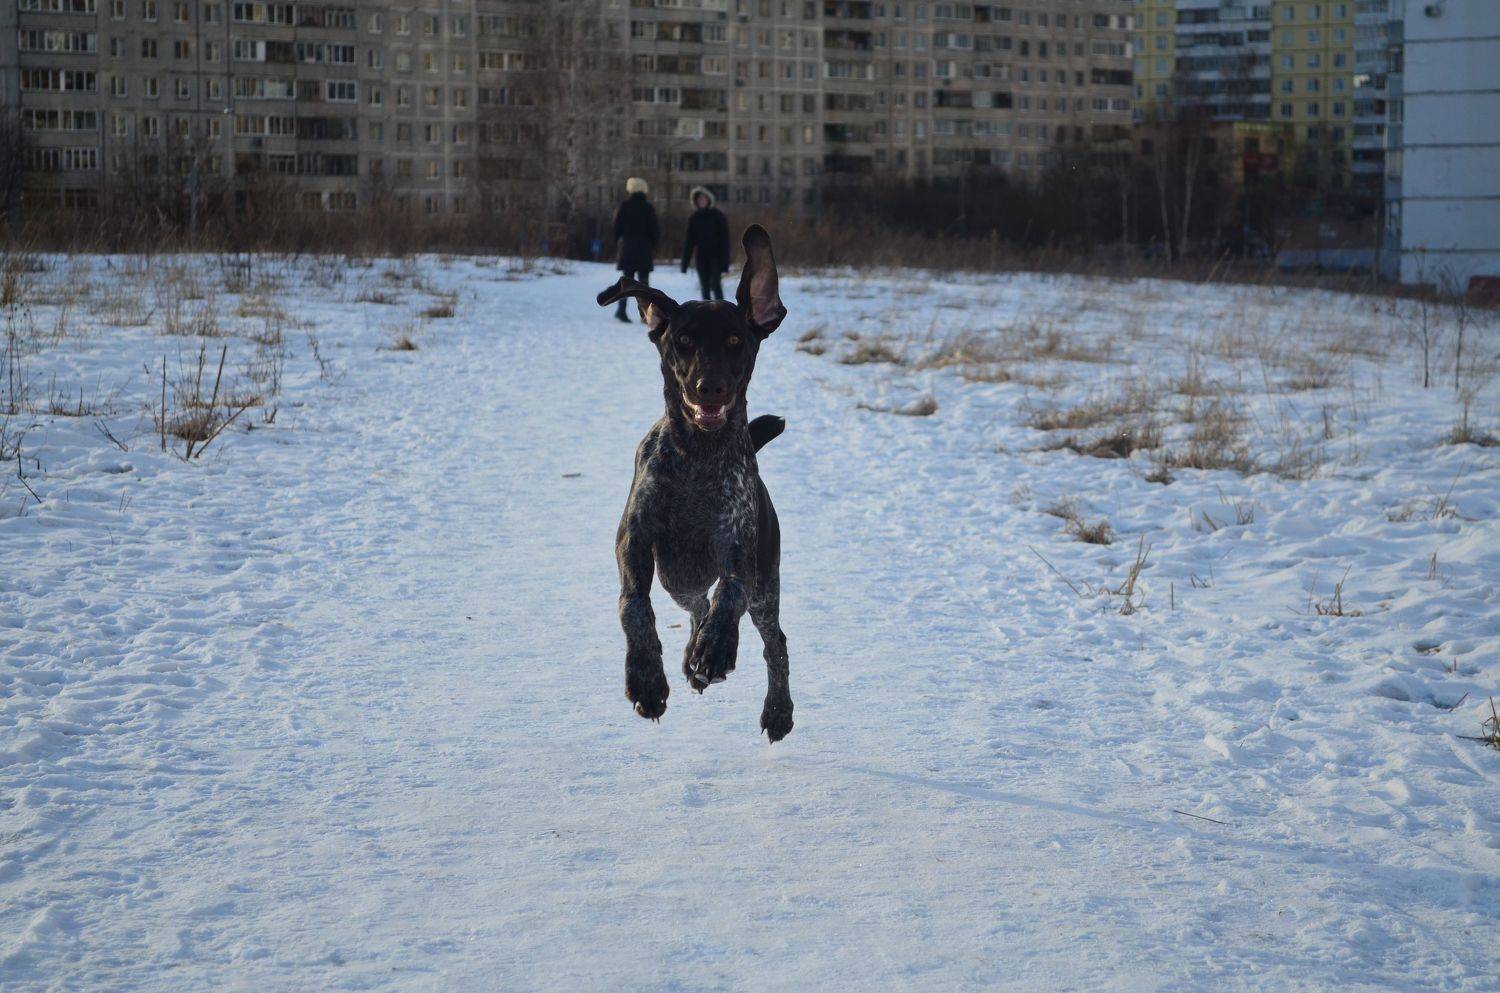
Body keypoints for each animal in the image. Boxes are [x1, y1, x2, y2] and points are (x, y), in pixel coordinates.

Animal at [596, 225, 794, 742]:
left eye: (735, 339)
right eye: (682, 339)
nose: (711, 387)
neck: (697, 460)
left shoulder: (739, 549)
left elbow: (730, 594)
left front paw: (718, 648)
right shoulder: (634, 541)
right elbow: (633, 607)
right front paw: (647, 679)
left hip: (766, 586)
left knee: (772, 639)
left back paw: (775, 708)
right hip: (676, 579)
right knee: (695, 606)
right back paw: (692, 658)